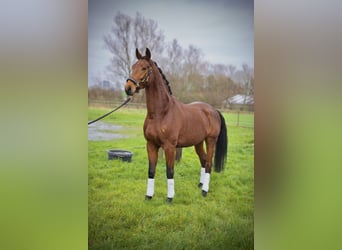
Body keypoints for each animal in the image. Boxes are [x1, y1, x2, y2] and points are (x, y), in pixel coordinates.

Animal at [125, 47, 227, 202]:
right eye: (133, 67)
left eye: (144, 67)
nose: (128, 88)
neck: (161, 113)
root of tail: (213, 110)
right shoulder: (151, 145)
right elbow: (151, 170)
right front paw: (149, 196)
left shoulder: (169, 147)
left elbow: (170, 171)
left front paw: (170, 197)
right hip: (198, 142)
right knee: (203, 160)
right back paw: (200, 185)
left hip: (210, 140)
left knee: (209, 163)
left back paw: (204, 191)